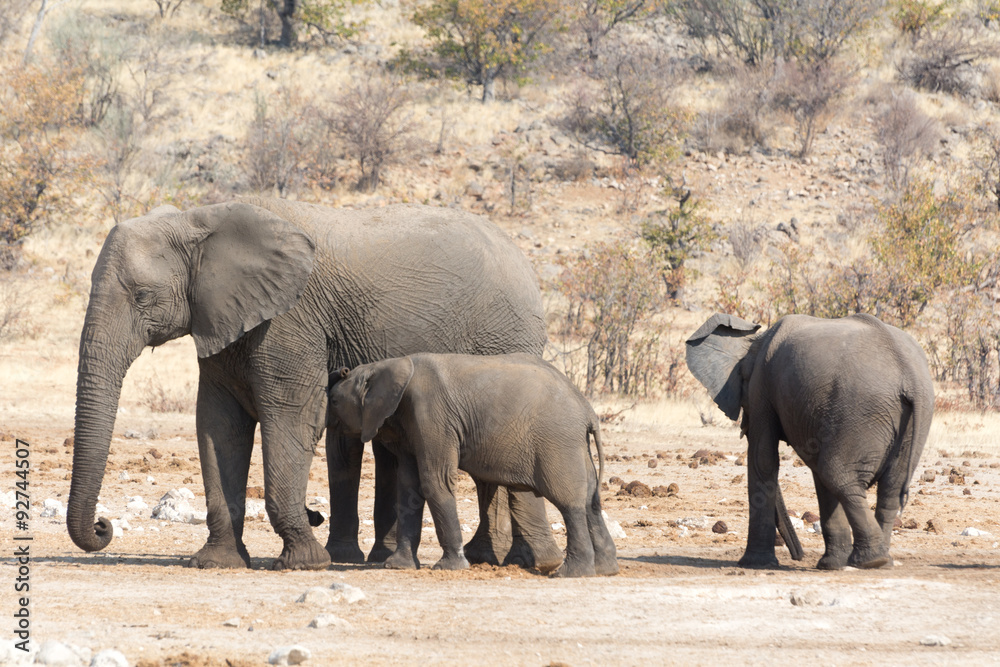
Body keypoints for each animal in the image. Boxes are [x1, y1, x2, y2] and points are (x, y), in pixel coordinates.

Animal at [68, 198, 561, 570]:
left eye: (141, 297)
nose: (103, 526)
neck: (200, 219)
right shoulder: (224, 319)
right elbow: (218, 427)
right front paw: (216, 562)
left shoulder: (291, 321)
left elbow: (291, 417)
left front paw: (303, 563)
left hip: (505, 337)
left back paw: (509, 560)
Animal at [327, 353, 619, 578]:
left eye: (333, 401)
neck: (387, 365)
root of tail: (588, 411)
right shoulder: (411, 426)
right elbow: (409, 487)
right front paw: (397, 566)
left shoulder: (432, 417)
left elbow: (435, 481)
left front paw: (449, 568)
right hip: (574, 446)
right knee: (591, 502)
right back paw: (606, 570)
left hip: (557, 443)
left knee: (570, 503)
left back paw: (571, 573)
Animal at [686, 312, 934, 570]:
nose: (799, 556)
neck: (754, 340)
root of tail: (909, 374)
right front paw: (831, 565)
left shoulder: (761, 388)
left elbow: (763, 459)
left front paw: (754, 564)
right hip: (911, 418)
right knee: (888, 488)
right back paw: (880, 561)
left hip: (862, 411)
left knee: (836, 473)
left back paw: (870, 561)